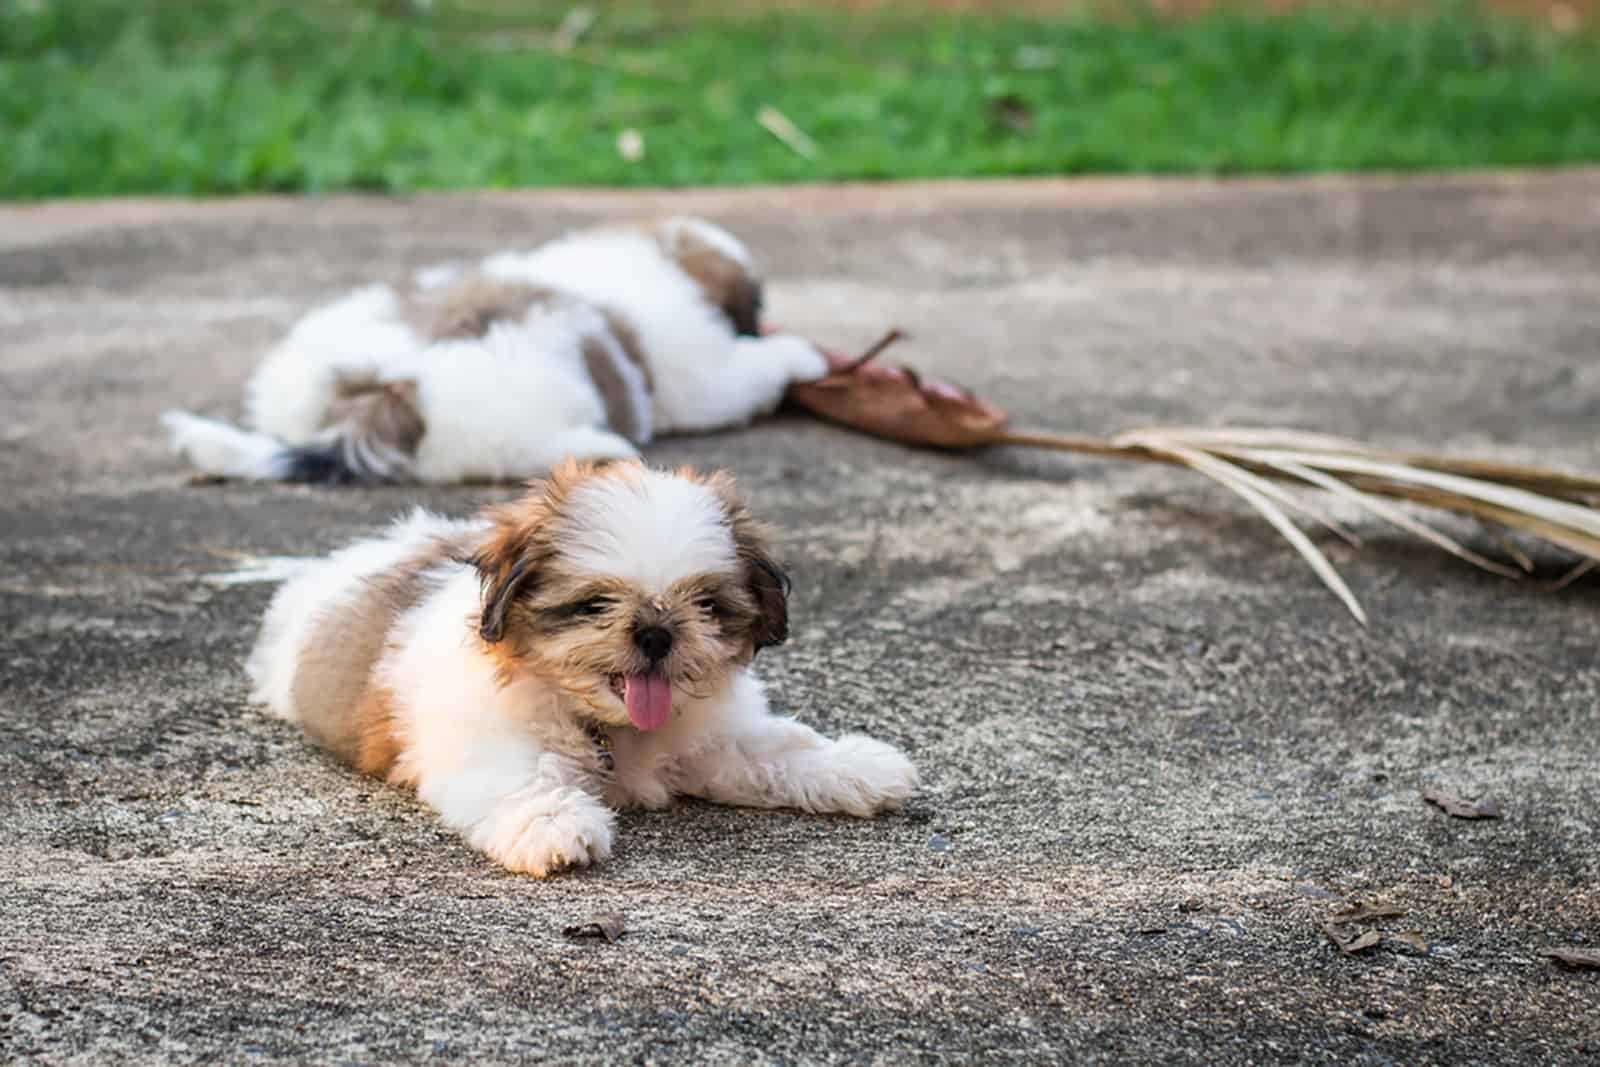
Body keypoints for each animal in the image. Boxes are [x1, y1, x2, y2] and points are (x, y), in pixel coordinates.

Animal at [165, 217, 825, 483]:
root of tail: (387, 390)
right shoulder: (704, 376)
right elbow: (750, 372)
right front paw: (803, 355)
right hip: (515, 423)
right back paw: (602, 448)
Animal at [252, 460, 928, 876]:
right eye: (595, 604)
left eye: (705, 604)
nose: (655, 632)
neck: (608, 724)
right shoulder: (483, 743)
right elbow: (522, 776)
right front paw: (554, 824)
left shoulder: (717, 737)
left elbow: (780, 749)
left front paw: (857, 767)